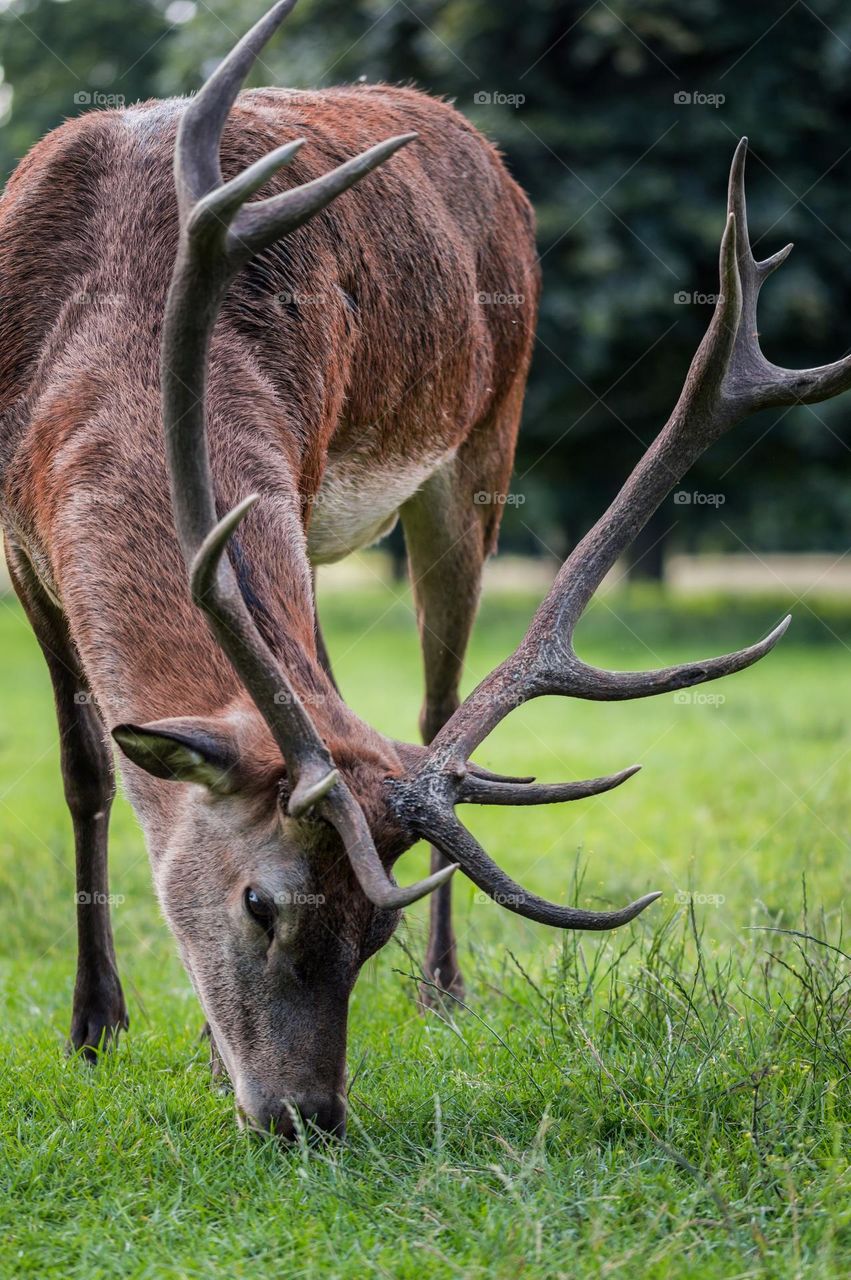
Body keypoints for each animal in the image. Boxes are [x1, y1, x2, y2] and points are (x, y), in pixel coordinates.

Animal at [1, 0, 849, 1141]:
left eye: (375, 935)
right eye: (260, 901)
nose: (307, 1112)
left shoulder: (306, 466)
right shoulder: (21, 545)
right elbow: (85, 770)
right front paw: (94, 1028)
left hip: (480, 443)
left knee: (433, 692)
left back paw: (448, 988)